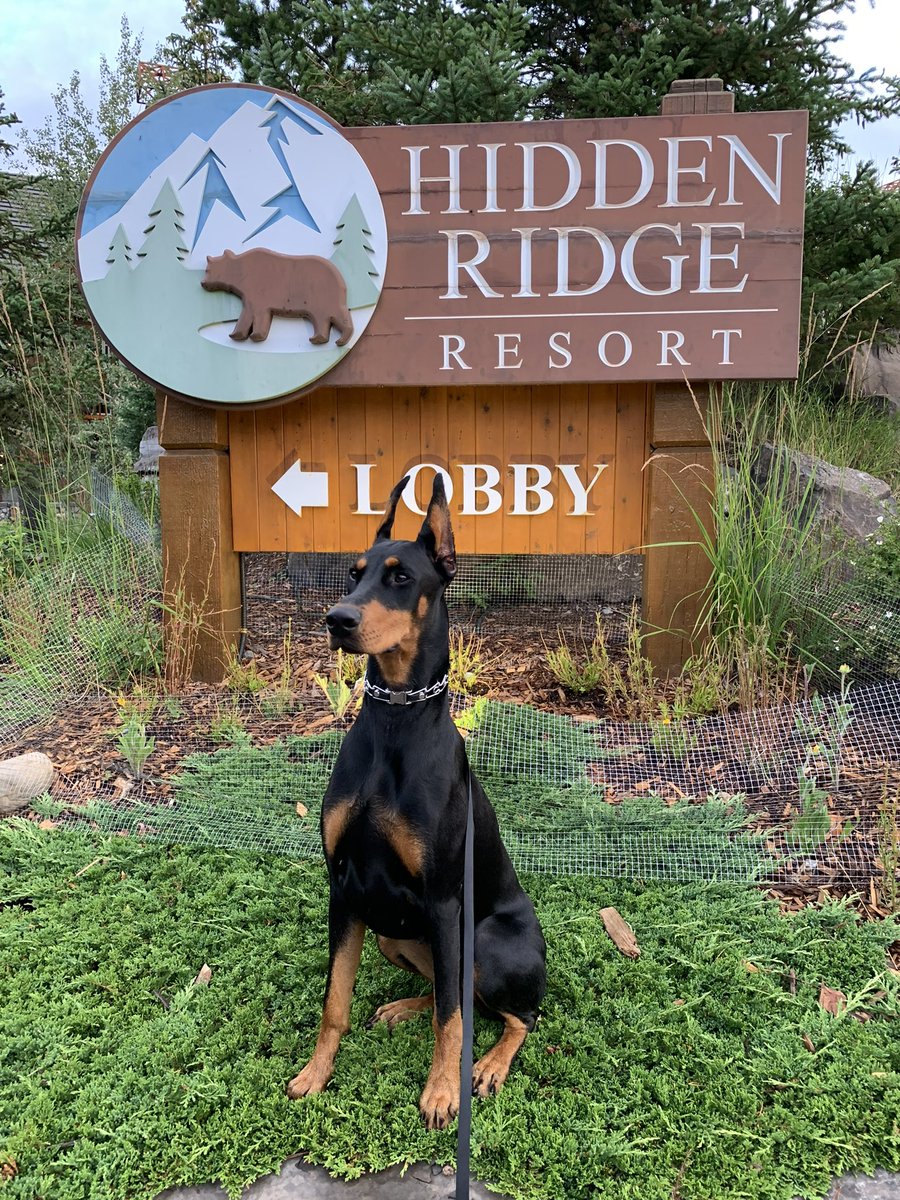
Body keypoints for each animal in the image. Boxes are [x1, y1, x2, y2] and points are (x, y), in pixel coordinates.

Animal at [285, 472, 547, 1128]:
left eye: (401, 577)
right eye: (353, 573)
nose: (337, 619)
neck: (395, 722)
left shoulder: (445, 901)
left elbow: (452, 1020)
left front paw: (441, 1092)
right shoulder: (344, 887)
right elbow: (335, 1001)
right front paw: (315, 1073)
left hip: (480, 940)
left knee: (514, 1015)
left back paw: (489, 1066)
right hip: (393, 933)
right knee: (449, 992)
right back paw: (404, 1006)